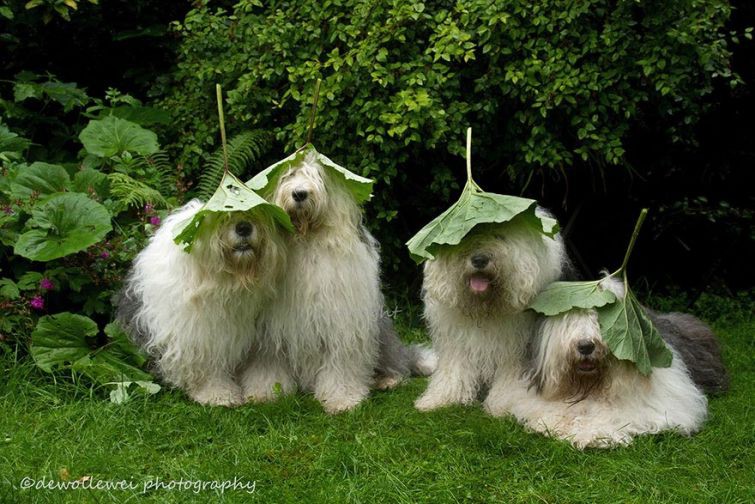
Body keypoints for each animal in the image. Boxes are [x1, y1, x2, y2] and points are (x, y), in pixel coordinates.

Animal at [118, 200, 286, 406]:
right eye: (221, 217)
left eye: (256, 213)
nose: (244, 227)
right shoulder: (196, 337)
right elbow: (207, 369)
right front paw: (218, 395)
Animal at [414, 219, 568, 412]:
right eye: (465, 235)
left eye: (499, 236)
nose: (479, 260)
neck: (484, 310)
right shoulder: (457, 341)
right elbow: (454, 370)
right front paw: (439, 399)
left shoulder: (515, 348)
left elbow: (509, 376)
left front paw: (503, 403)